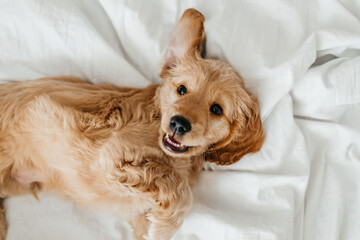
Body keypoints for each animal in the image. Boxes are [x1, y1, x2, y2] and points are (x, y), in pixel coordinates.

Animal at [0, 8, 264, 240]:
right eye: (181, 89)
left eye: (217, 109)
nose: (178, 124)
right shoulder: (114, 154)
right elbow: (178, 187)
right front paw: (165, 226)